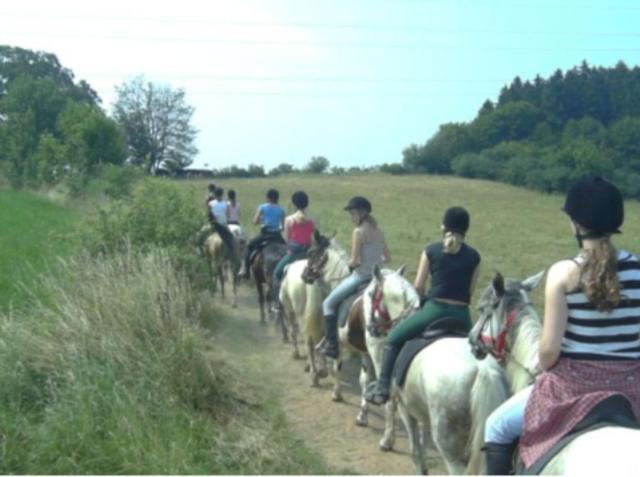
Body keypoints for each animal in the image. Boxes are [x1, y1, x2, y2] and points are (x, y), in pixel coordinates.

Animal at [364, 264, 510, 472]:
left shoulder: (405, 409)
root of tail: (484, 371)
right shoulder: (422, 412)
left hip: (450, 447)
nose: (371, 329)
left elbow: (416, 452)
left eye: (369, 294)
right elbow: (422, 444)